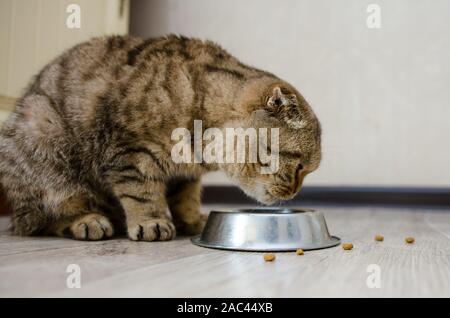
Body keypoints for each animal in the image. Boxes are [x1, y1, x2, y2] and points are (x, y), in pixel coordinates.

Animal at [0, 35, 322, 241]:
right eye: (300, 167)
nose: (295, 193)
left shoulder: (185, 173)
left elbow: (185, 197)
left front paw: (191, 219)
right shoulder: (130, 152)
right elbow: (140, 192)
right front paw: (151, 221)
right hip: (43, 135)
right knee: (40, 220)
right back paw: (87, 220)